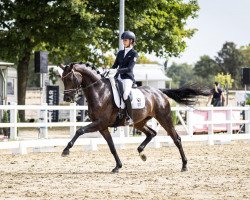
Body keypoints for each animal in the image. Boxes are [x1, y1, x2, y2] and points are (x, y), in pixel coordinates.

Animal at [59, 63, 210, 173]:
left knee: (176, 138)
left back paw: (184, 165)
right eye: (62, 79)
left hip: (164, 118)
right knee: (152, 133)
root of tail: (159, 92)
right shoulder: (102, 126)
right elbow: (111, 146)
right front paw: (118, 166)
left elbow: (80, 131)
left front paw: (66, 150)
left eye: (70, 78)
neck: (99, 91)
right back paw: (142, 153)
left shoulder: (100, 123)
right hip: (139, 122)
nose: (67, 98)